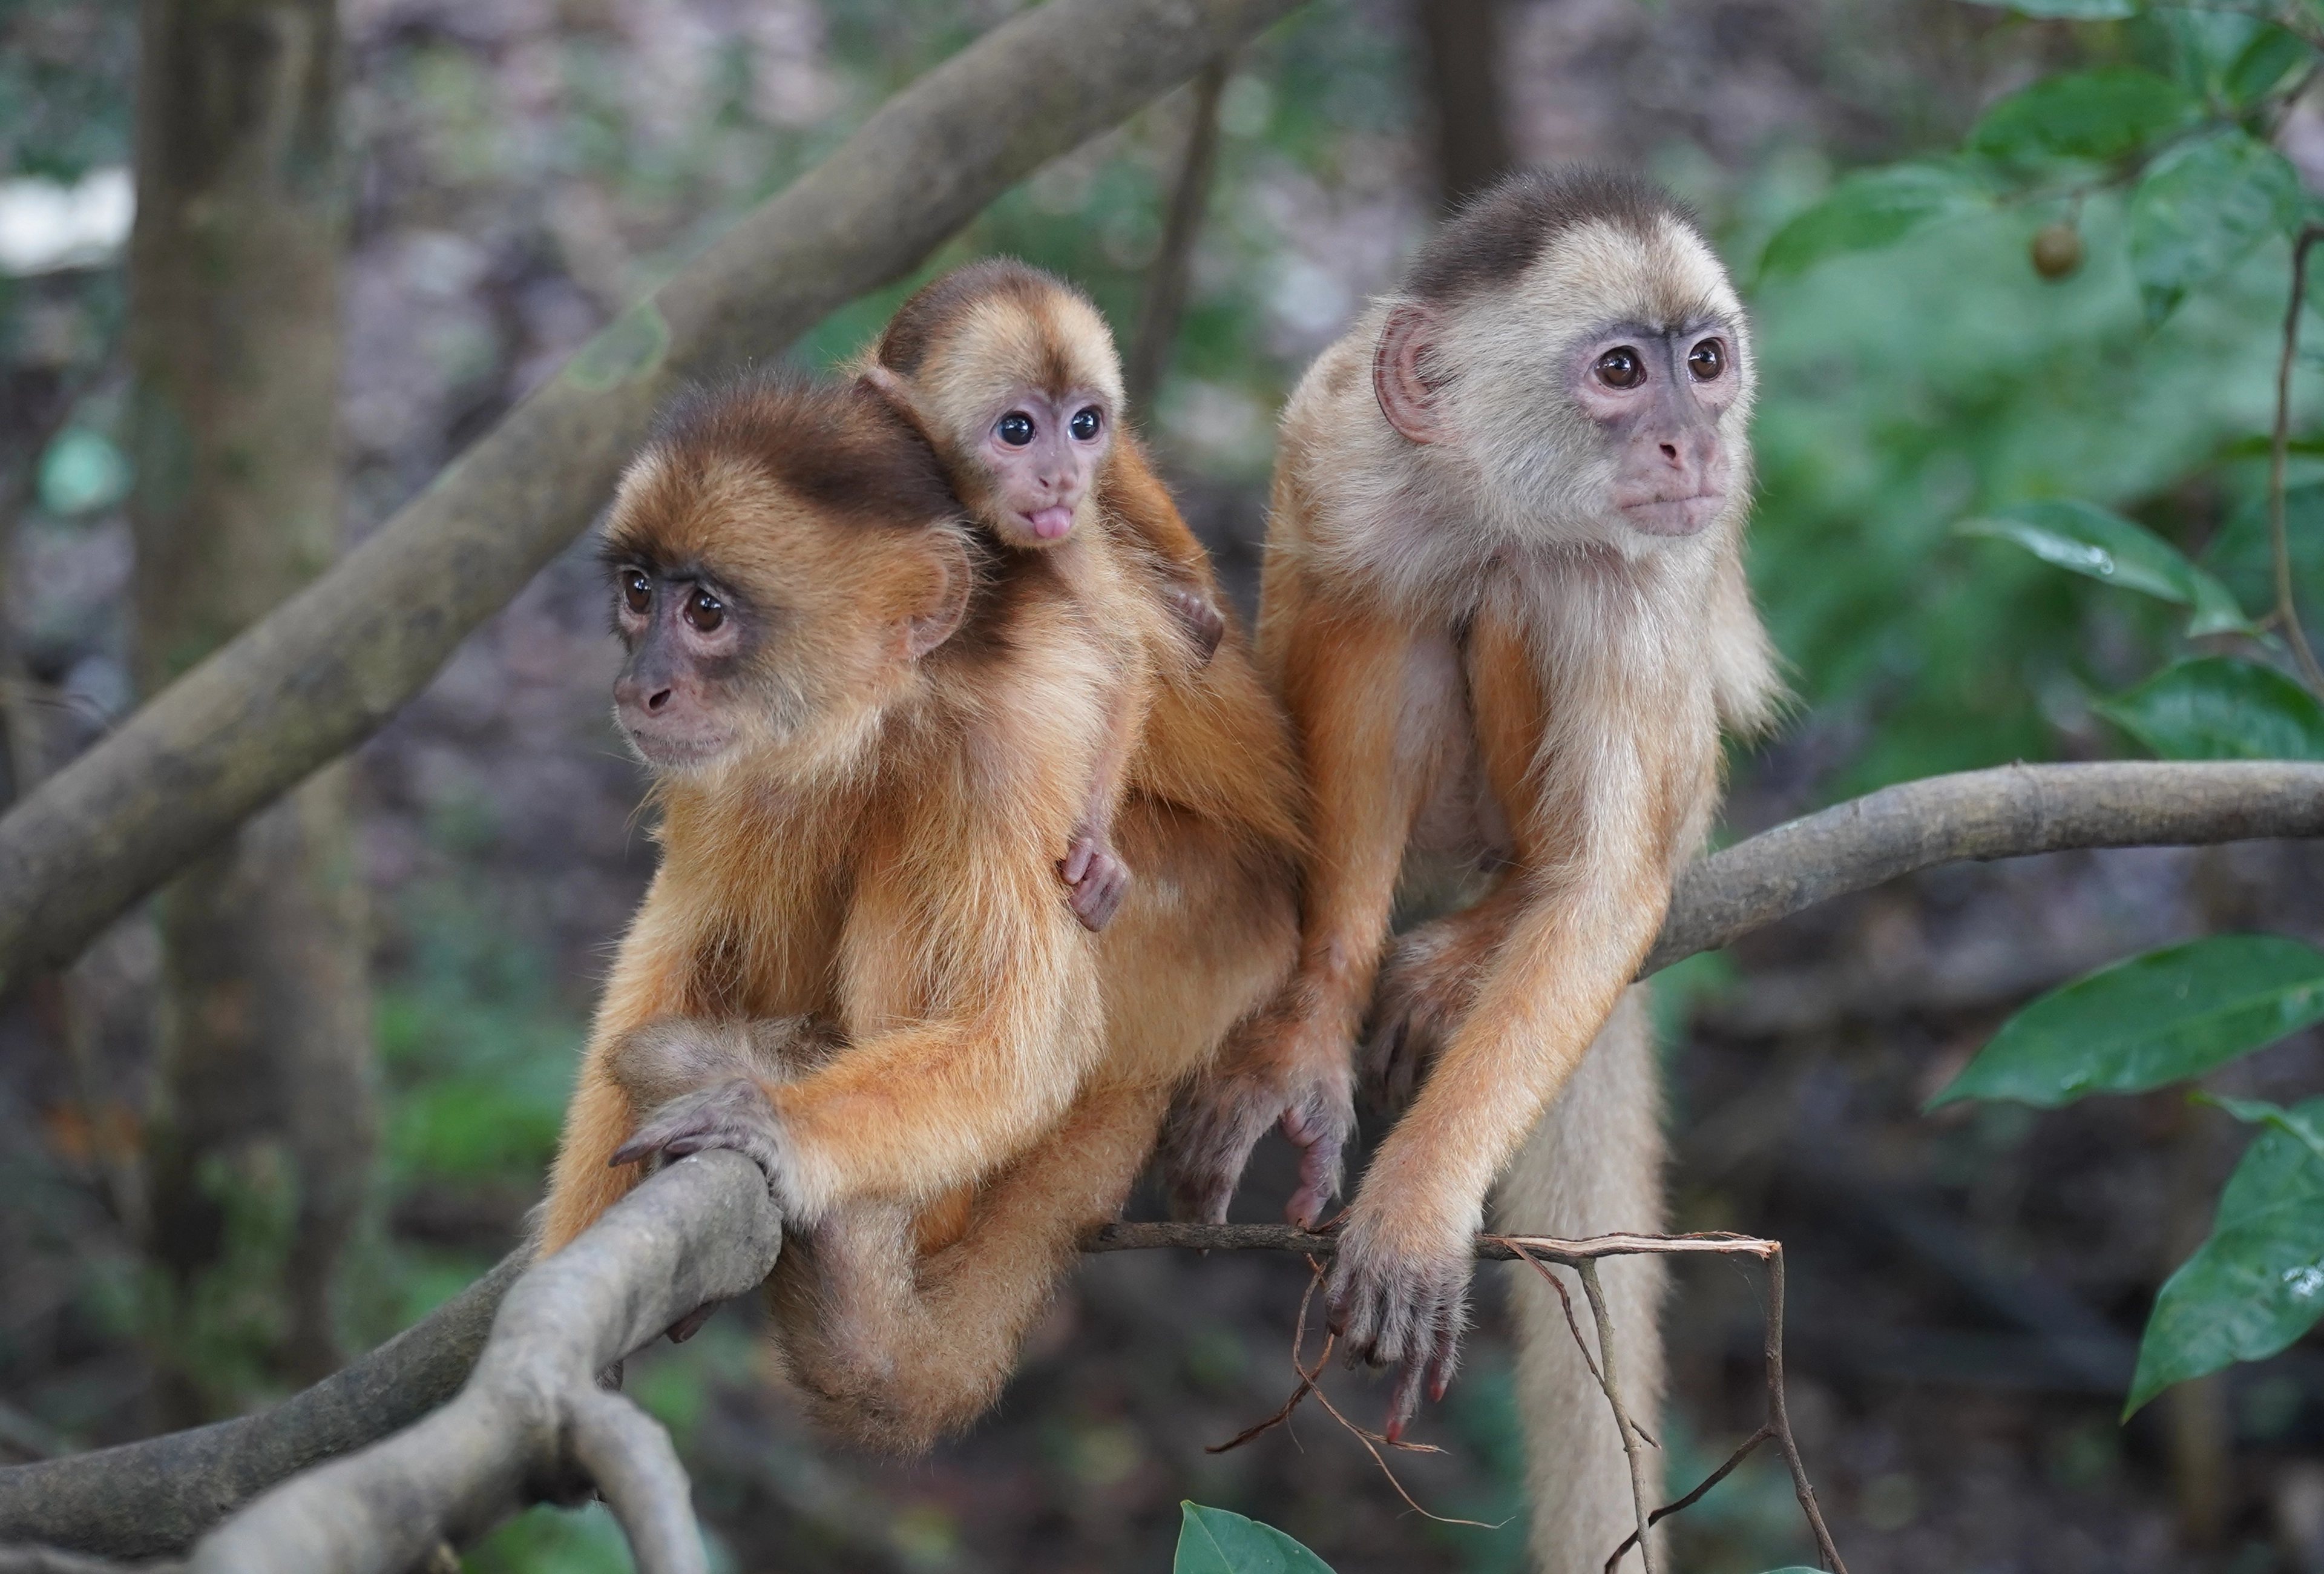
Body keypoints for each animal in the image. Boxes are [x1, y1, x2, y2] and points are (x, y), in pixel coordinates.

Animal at [539, 372, 1310, 1451]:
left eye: (706, 612)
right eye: (641, 593)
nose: (639, 687)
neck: (904, 697)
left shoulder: (1013, 732)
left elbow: (1028, 1039)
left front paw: (779, 1127)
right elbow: (683, 928)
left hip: (1204, 937)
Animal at [864, 254, 1236, 934]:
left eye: (1083, 424)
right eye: (1017, 429)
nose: (1062, 477)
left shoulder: (1069, 533)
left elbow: (1118, 656)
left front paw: (1095, 847)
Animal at [1162, 166, 1775, 1562]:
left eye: (1705, 363)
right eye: (1622, 370)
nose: (1693, 444)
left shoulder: (1652, 571)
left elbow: (1606, 891)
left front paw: (1421, 1199)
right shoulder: (1336, 438)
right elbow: (1360, 657)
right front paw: (1305, 1036)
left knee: (1531, 596)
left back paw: (1499, 921)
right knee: (1406, 615)